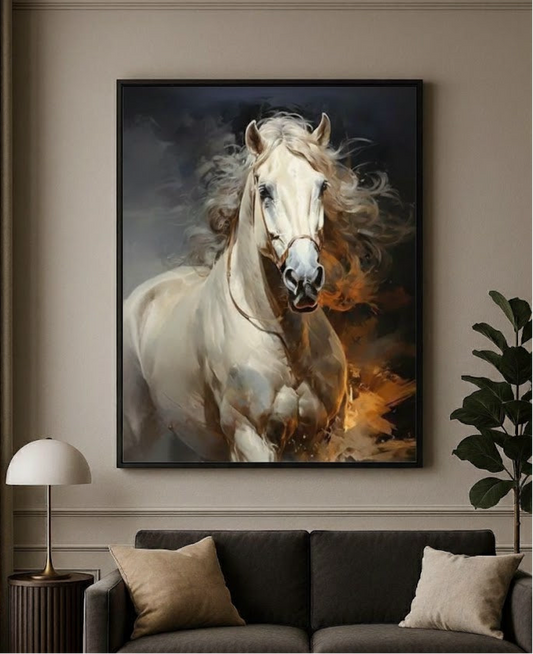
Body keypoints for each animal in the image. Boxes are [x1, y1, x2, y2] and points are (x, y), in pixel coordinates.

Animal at [122, 113, 390, 463]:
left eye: (321, 186)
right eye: (265, 190)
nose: (304, 279)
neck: (287, 343)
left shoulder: (319, 439)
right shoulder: (249, 439)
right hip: (138, 435)